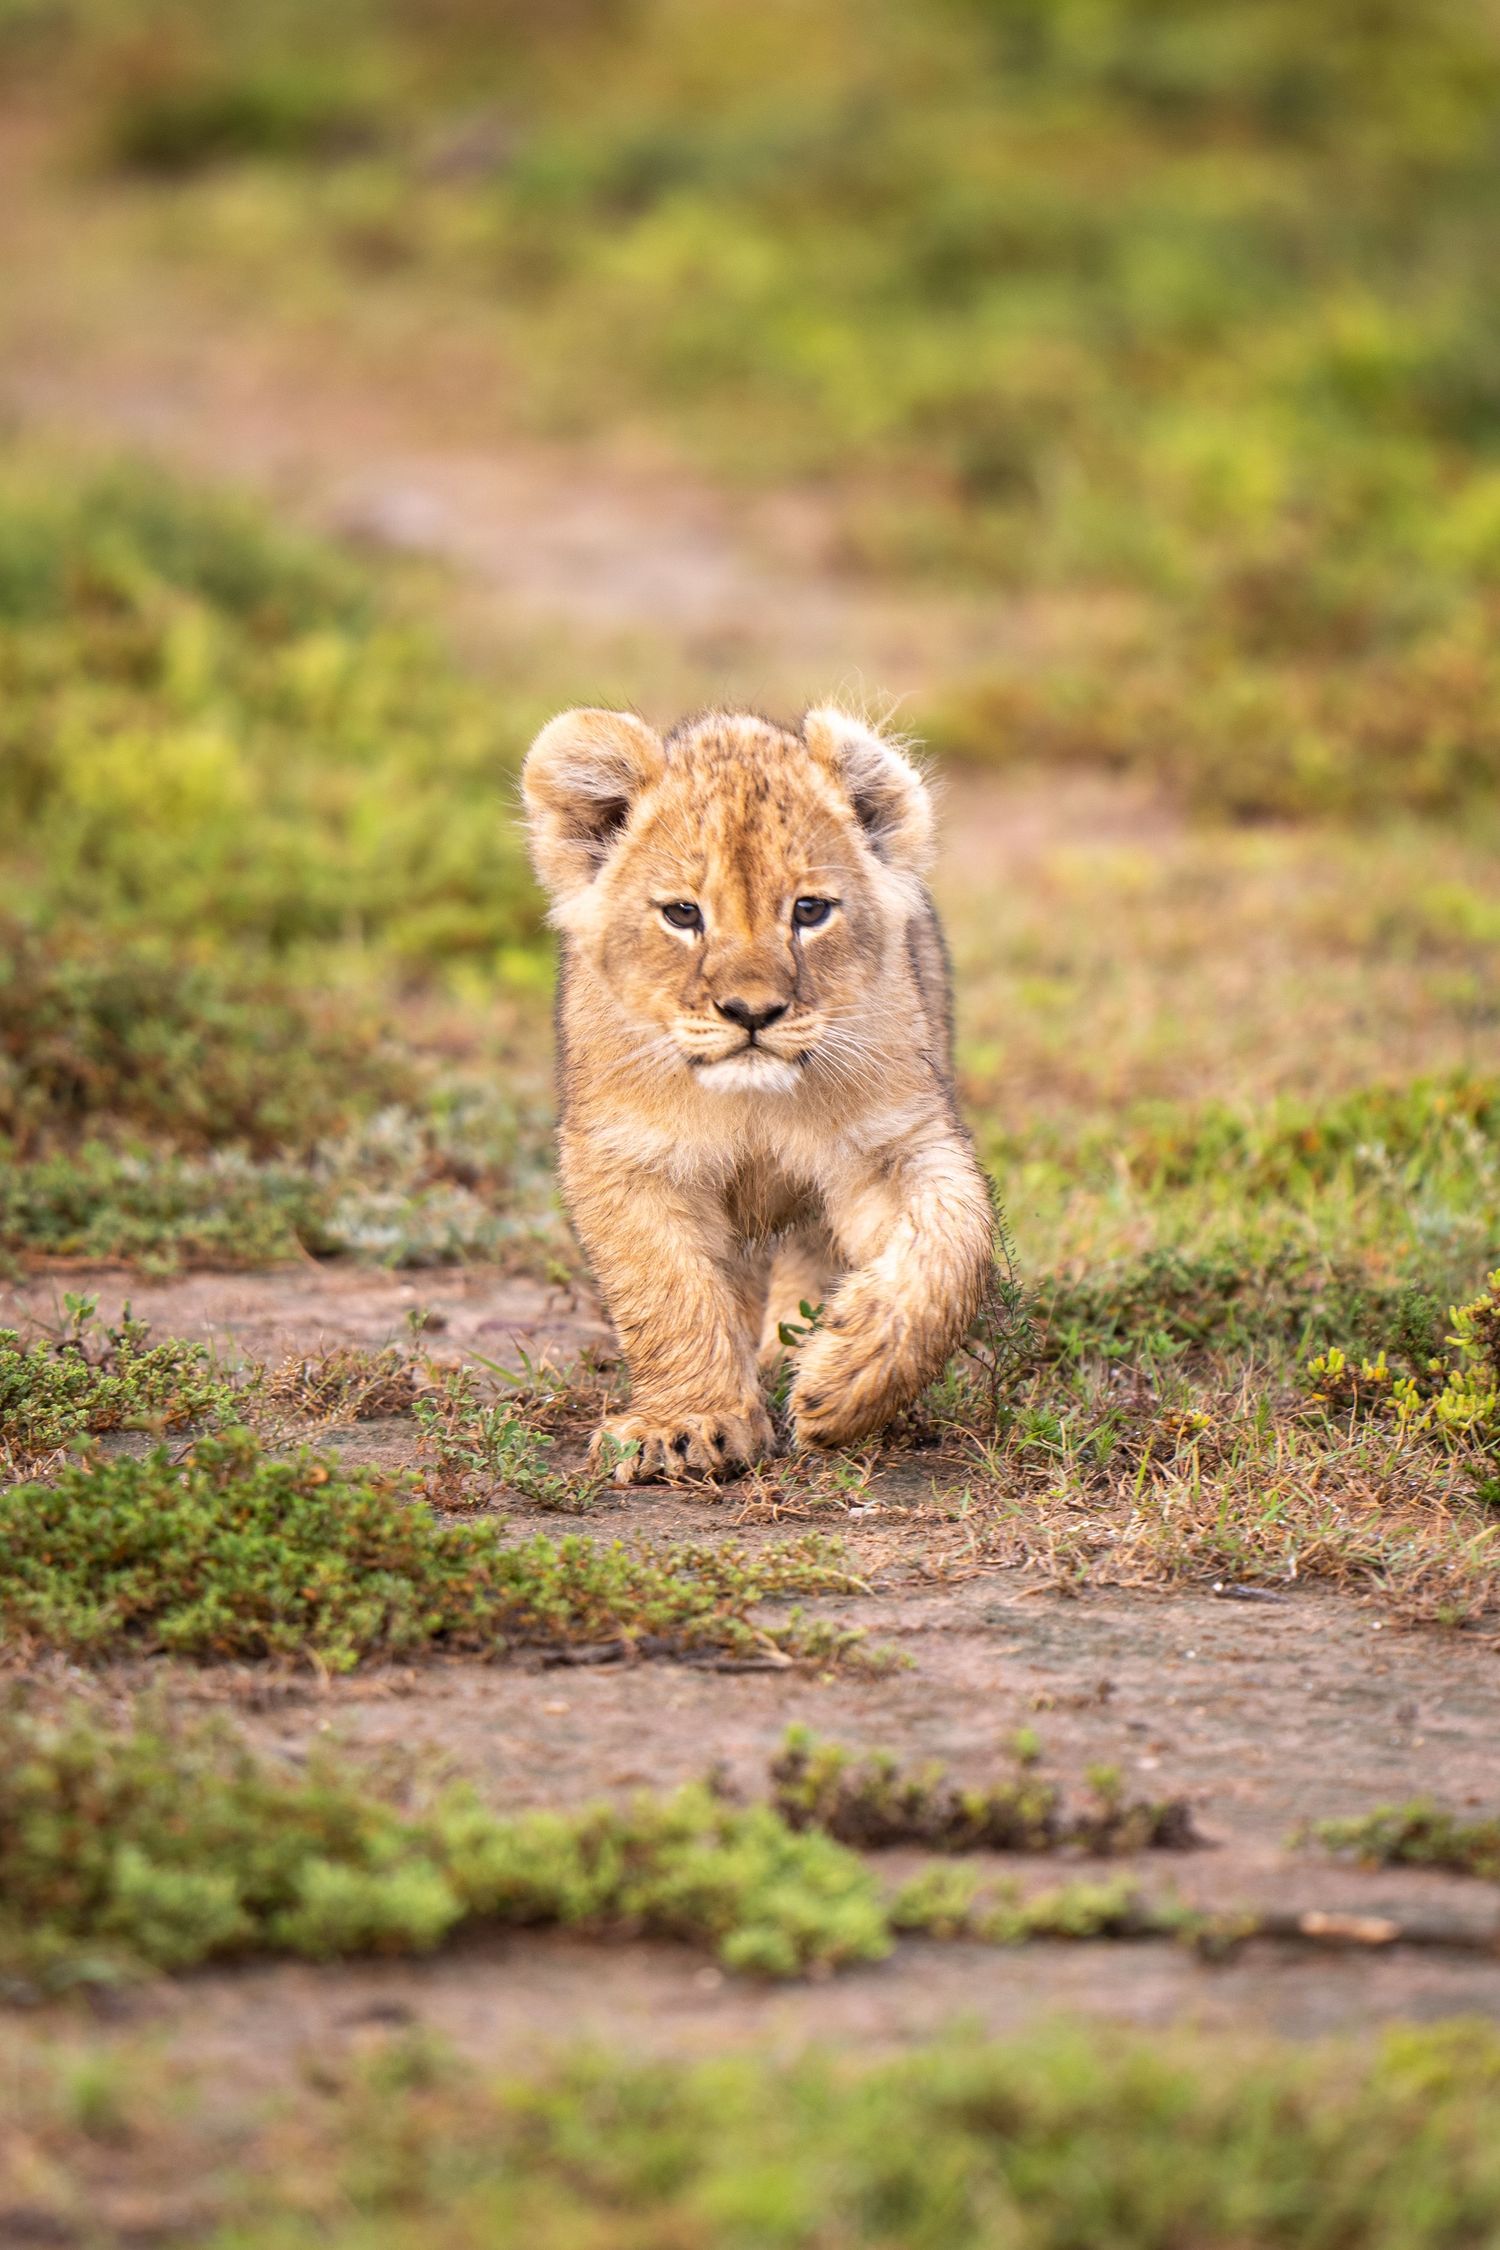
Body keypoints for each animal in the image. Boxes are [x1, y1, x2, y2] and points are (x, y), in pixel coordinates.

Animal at [522, 704, 994, 1482]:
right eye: (683, 914)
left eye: (810, 910)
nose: (751, 1013)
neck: (752, 1104)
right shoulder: (624, 1156)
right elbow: (667, 1289)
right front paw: (688, 1423)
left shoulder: (892, 1141)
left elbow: (953, 1243)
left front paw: (851, 1378)